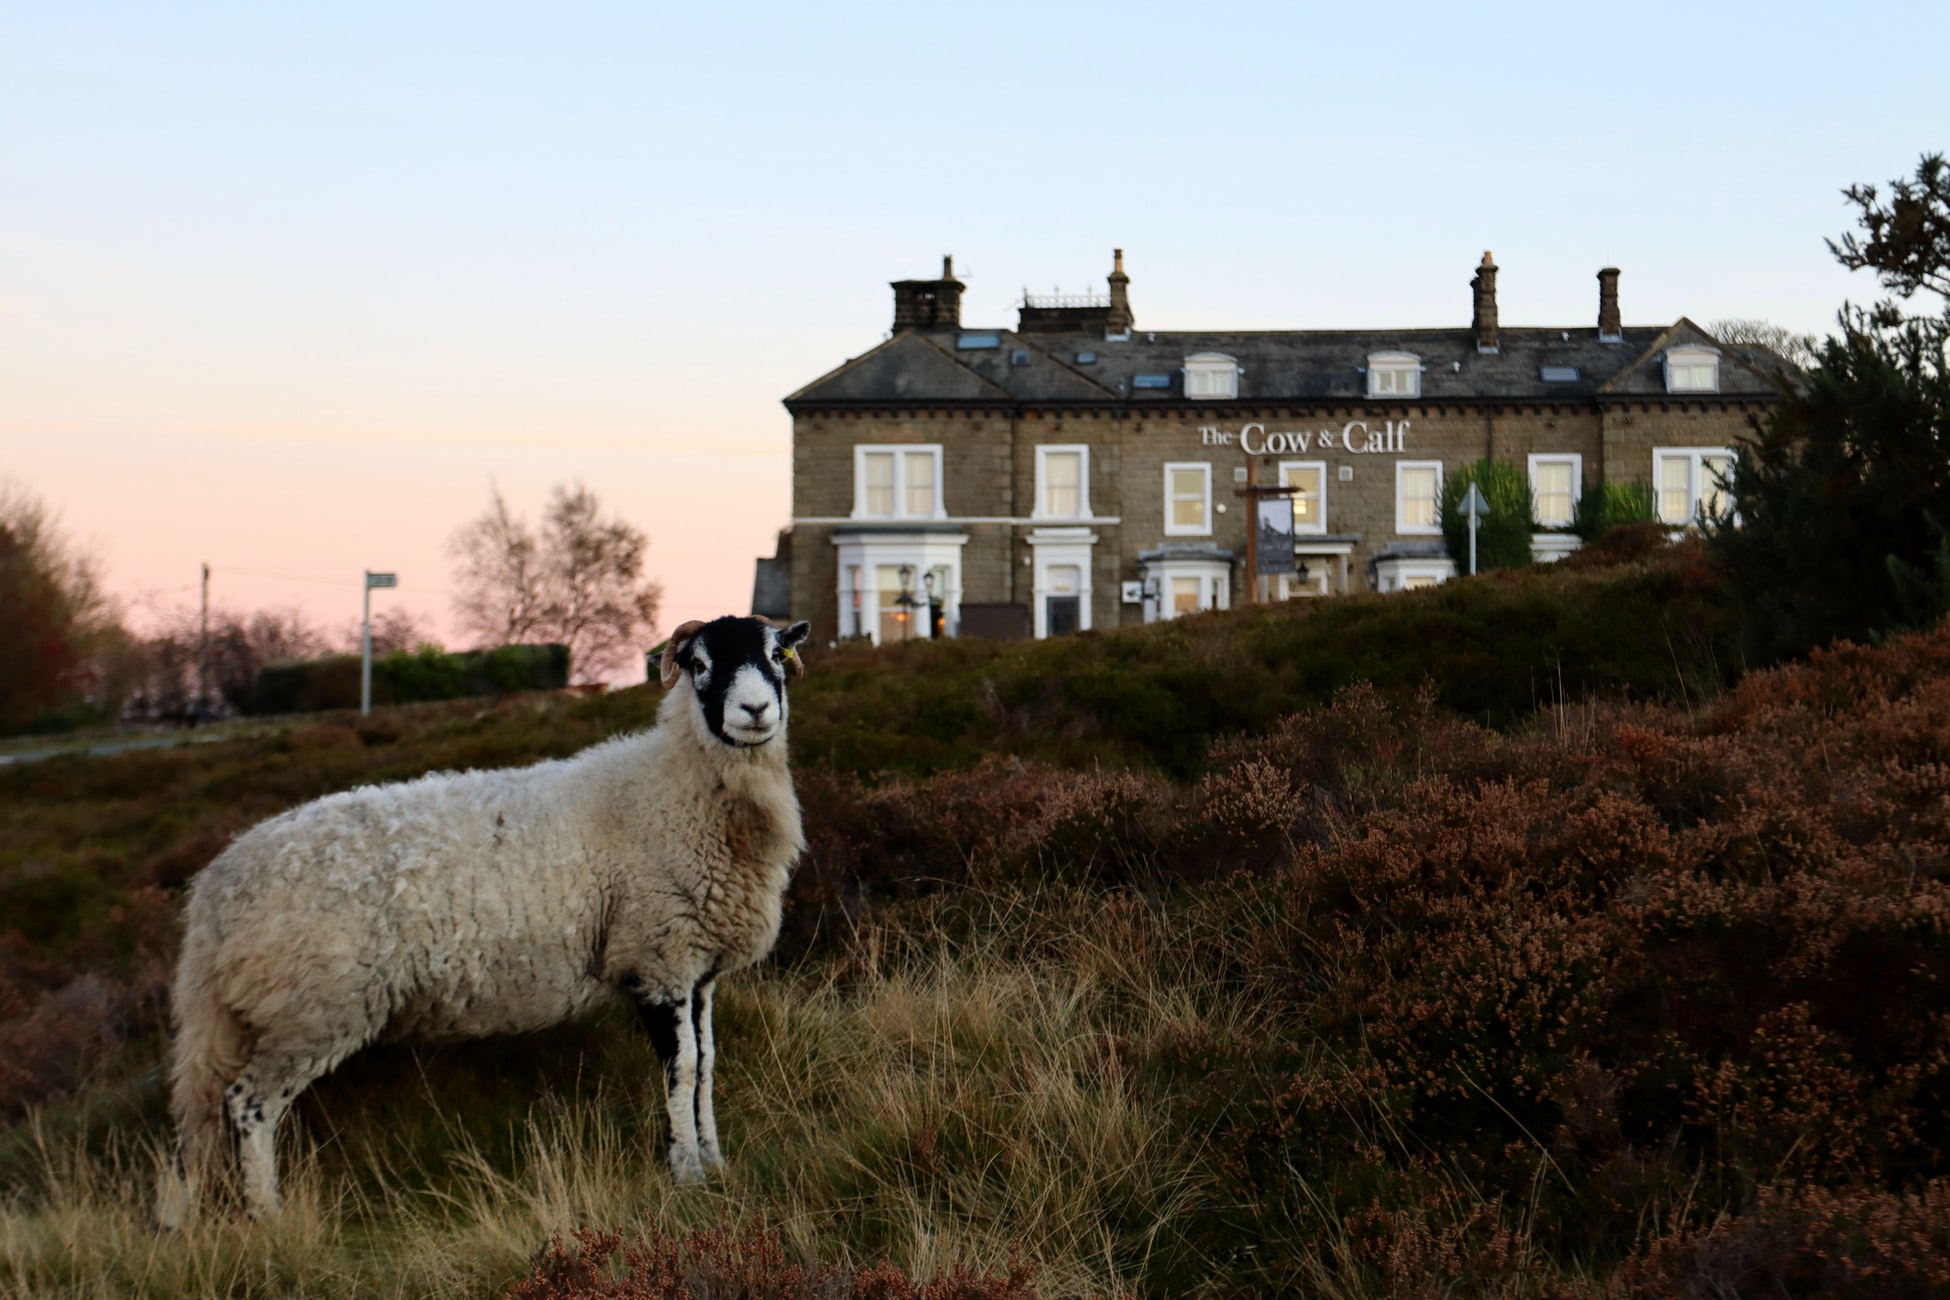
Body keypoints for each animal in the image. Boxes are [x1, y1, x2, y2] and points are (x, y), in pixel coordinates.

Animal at [154, 615, 815, 1223]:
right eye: (700, 664)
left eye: (775, 655)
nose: (755, 711)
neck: (680, 789)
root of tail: (215, 890)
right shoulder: (657, 958)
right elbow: (682, 1071)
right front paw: (687, 1176)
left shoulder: (697, 971)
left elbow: (706, 1068)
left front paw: (716, 1162)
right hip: (309, 1008)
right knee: (246, 1106)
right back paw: (268, 1217)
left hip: (245, 1017)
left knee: (202, 1106)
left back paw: (186, 1215)